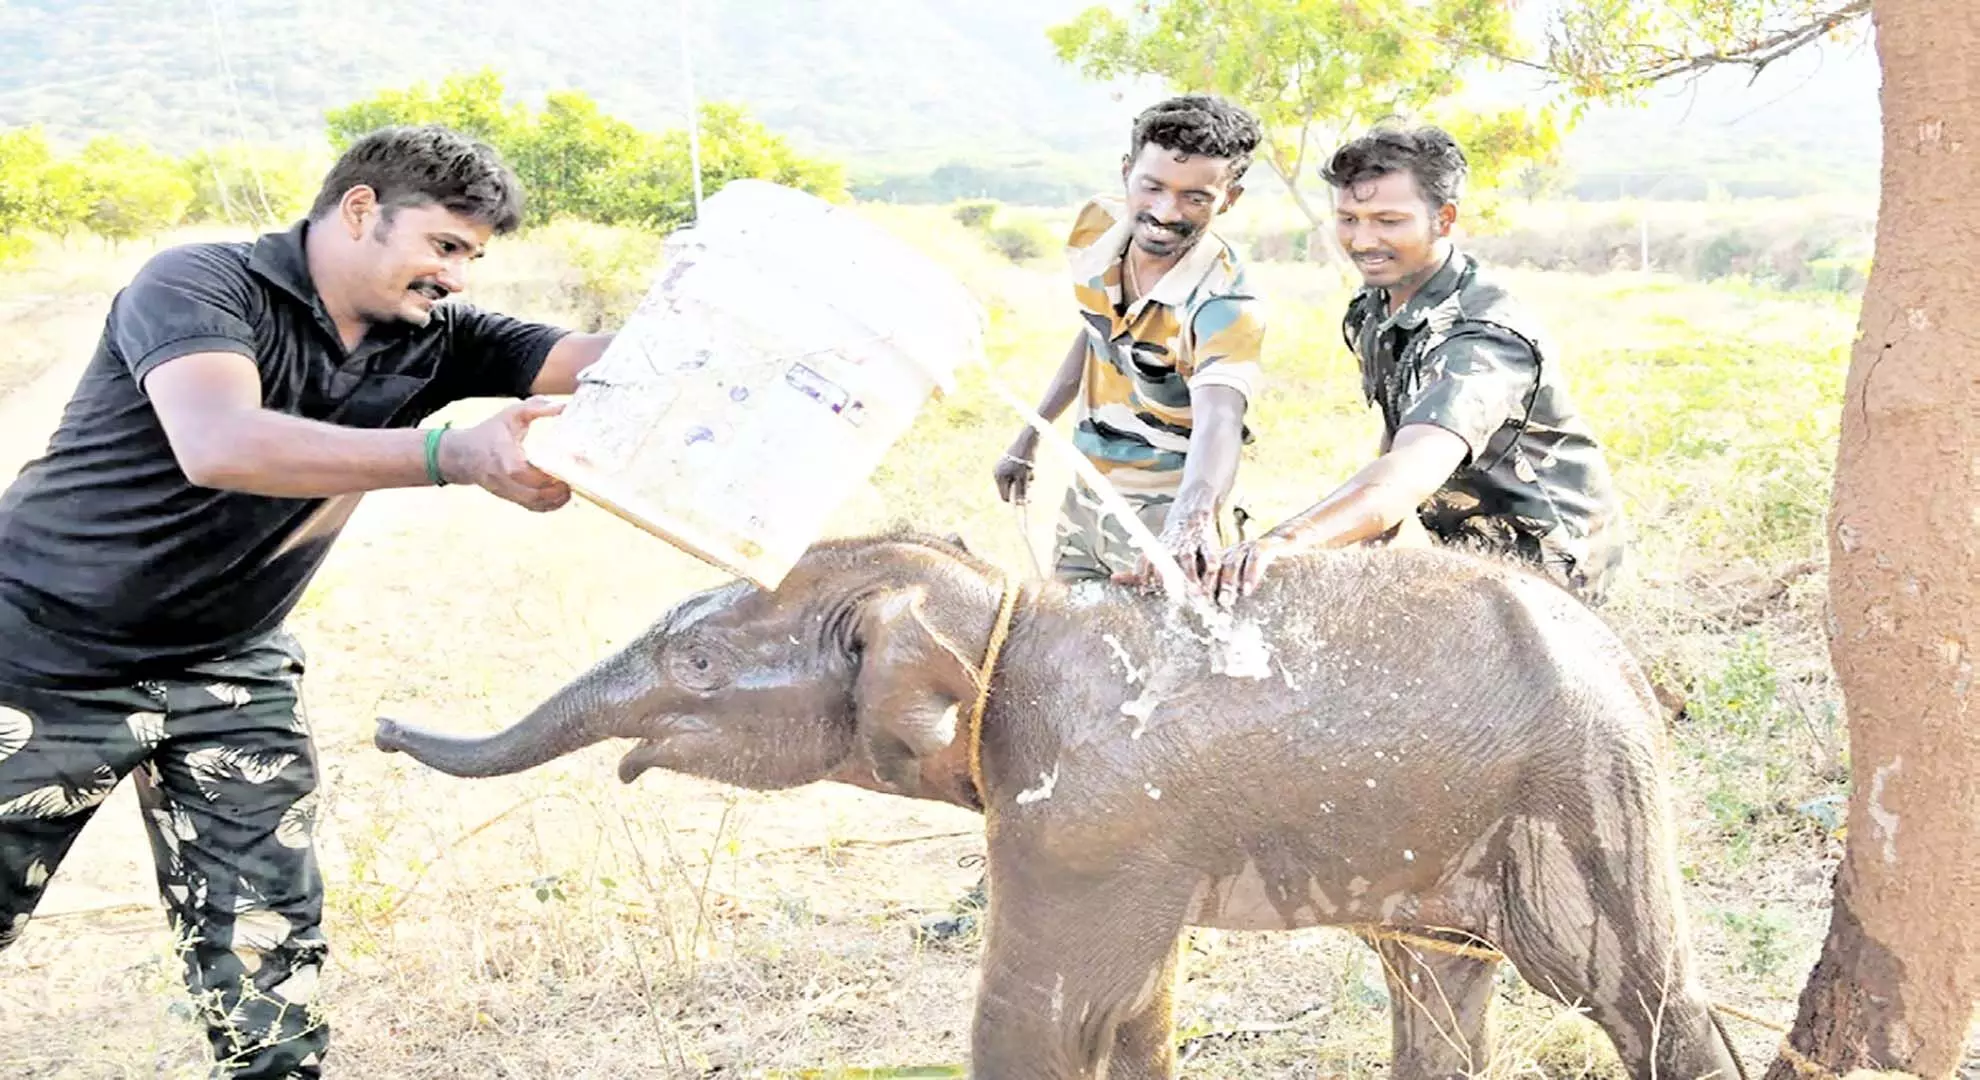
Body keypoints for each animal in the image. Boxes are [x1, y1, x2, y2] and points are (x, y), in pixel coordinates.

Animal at [372, 527, 1734, 1070]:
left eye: (698, 665)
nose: (380, 726)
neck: (999, 605)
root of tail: (1624, 660)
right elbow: (1134, 1015)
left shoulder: (1080, 822)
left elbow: (1037, 1024)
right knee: (1438, 988)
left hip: (1584, 794)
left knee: (1636, 995)